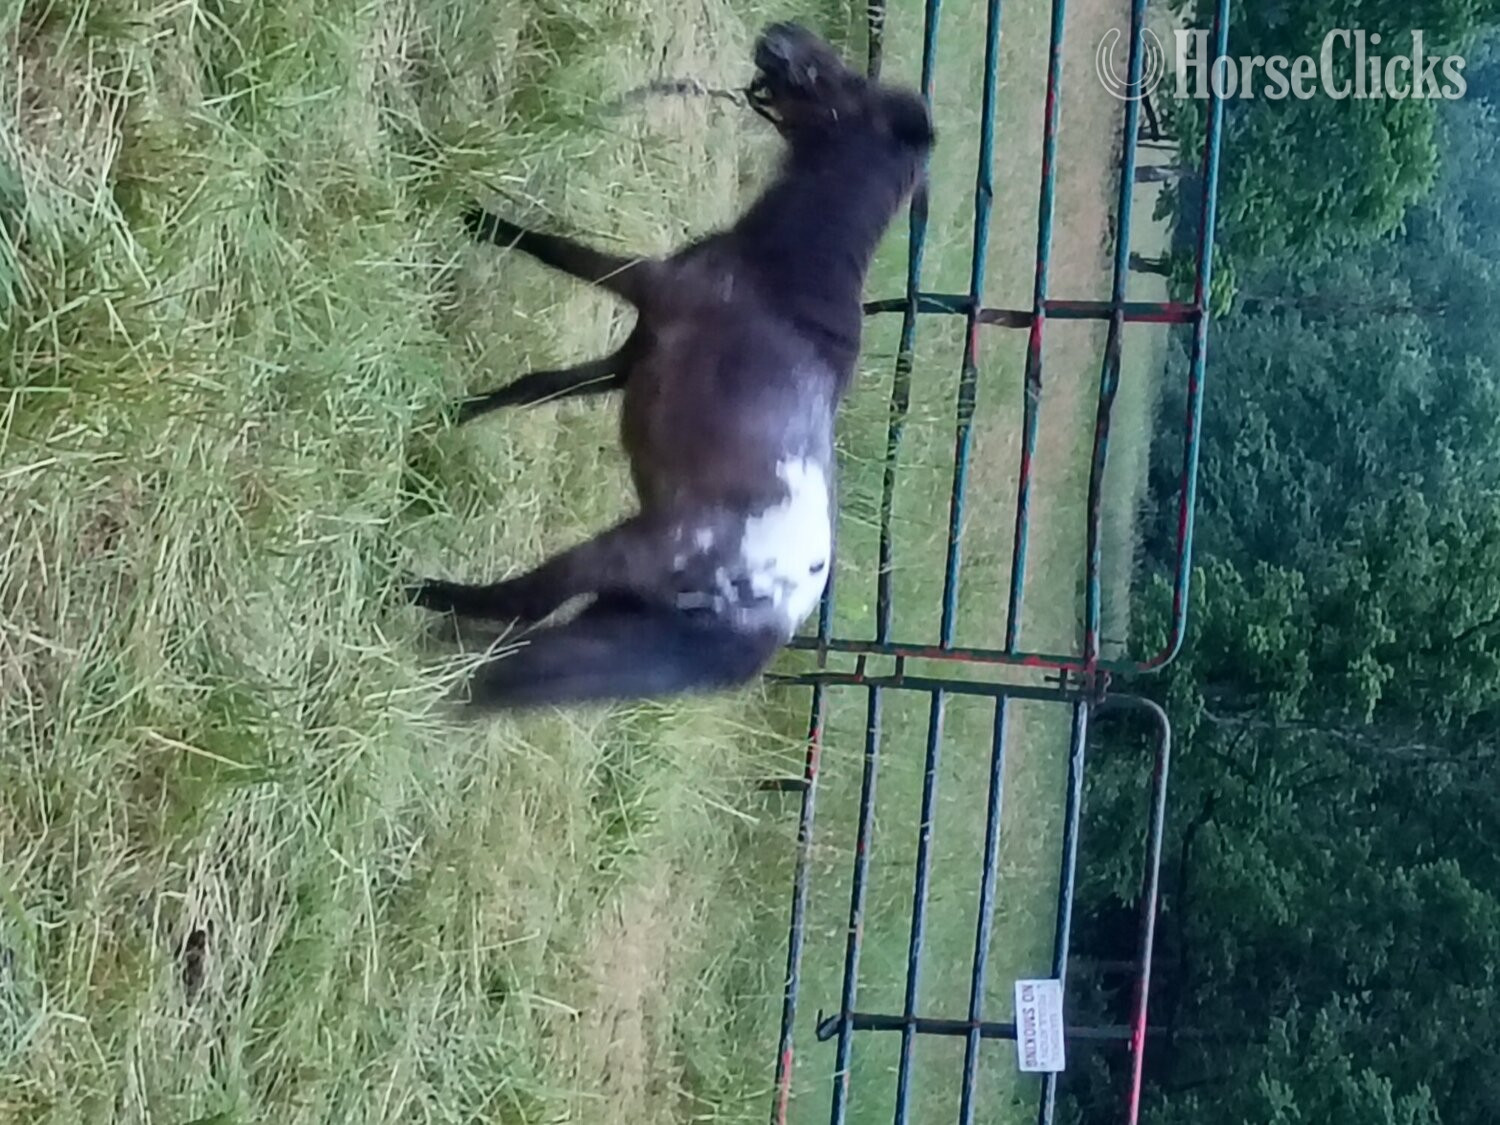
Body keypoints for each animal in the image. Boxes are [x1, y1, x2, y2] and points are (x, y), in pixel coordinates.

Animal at [410, 22, 934, 709]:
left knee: (522, 603)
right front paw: (444, 417)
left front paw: (473, 215)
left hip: (612, 555)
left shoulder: (646, 287)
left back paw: (407, 586)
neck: (785, 276)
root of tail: (766, 622)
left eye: (852, 90)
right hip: (614, 606)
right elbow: (532, 389)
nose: (781, 36)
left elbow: (551, 249)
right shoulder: (632, 357)